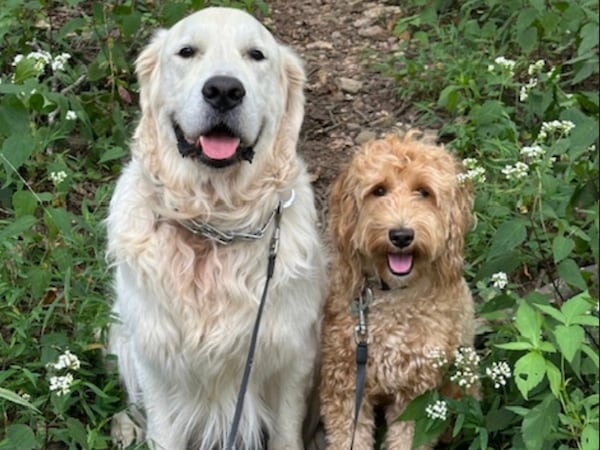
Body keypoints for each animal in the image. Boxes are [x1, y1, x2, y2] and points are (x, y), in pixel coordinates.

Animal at [322, 132, 476, 448]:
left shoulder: (416, 396)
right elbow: (349, 436)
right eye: (378, 190)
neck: (393, 295)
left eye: (424, 192)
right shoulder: (344, 384)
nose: (402, 235)